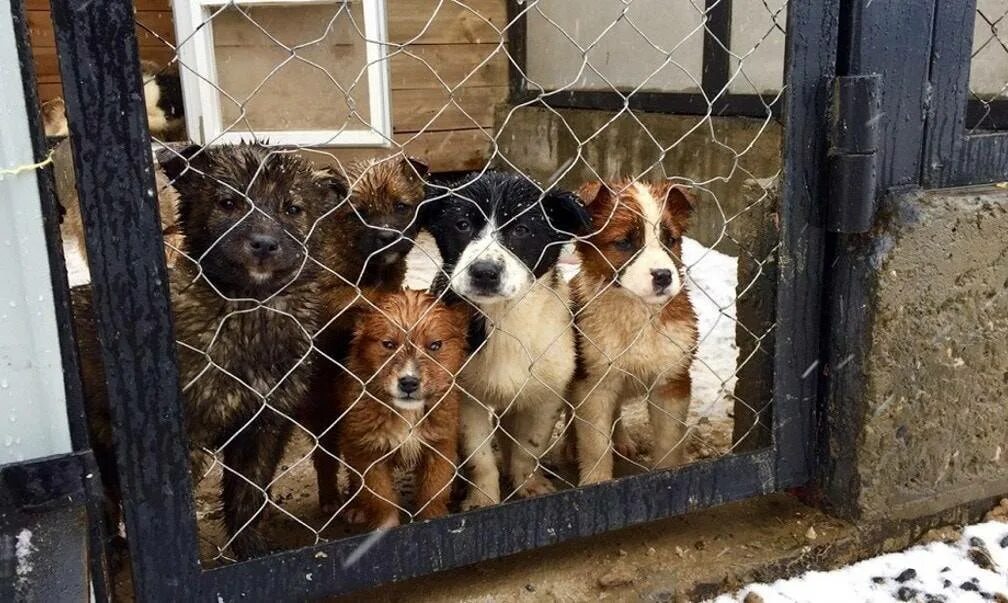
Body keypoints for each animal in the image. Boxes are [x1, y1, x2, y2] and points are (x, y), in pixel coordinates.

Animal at [73, 144, 342, 560]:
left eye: (292, 208)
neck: (249, 313)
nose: (263, 244)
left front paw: (251, 551)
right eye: (227, 202)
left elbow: (249, 497)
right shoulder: (183, 440)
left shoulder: (265, 426)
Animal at [298, 153, 429, 512]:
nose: (387, 238)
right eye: (360, 213)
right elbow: (363, 296)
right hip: (322, 411)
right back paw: (333, 498)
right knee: (327, 457)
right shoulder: (326, 295)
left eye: (401, 207)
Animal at [336, 290, 465, 532]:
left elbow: (433, 493)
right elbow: (380, 499)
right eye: (388, 344)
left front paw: (434, 520)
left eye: (435, 345)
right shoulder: (367, 452)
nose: (409, 383)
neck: (407, 413)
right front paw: (385, 528)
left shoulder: (440, 446)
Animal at [423, 170, 588, 510]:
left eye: (522, 229)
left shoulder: (545, 393)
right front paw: (482, 498)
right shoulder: (465, 398)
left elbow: (529, 447)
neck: (504, 317)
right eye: (462, 224)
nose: (484, 272)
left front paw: (529, 485)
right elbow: (480, 457)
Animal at [572, 179, 697, 486]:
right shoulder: (594, 385)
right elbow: (595, 445)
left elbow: (669, 442)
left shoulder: (672, 382)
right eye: (624, 242)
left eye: (670, 240)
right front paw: (595, 483)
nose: (664, 276)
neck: (638, 312)